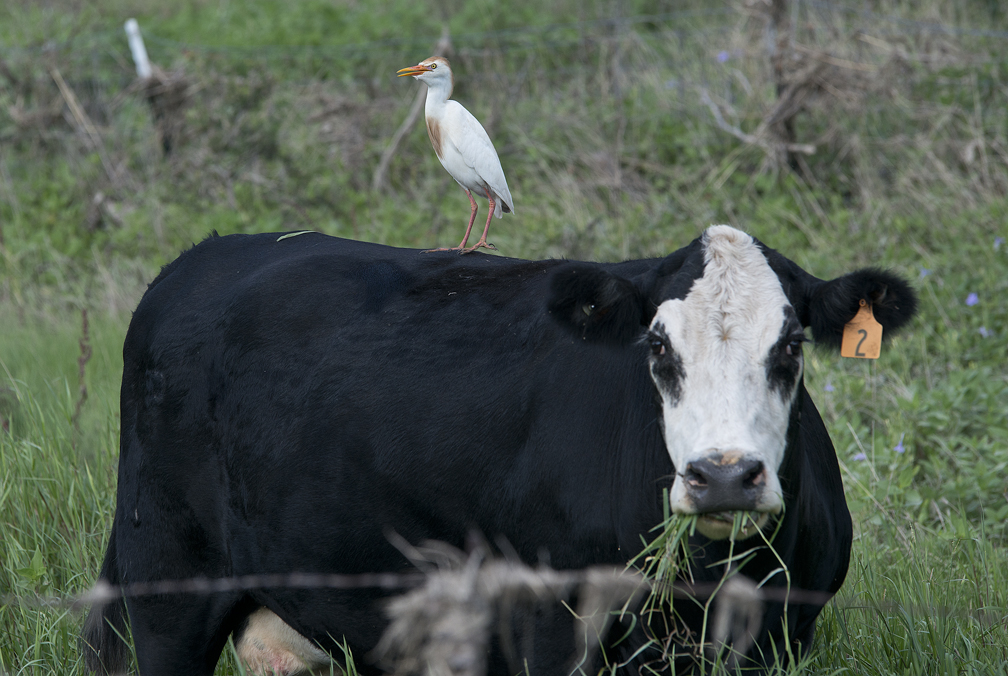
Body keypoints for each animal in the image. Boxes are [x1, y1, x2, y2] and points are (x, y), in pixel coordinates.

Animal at [82, 225, 916, 675]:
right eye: (656, 345)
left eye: (791, 343)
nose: (724, 475)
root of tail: (206, 257)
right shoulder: (552, 625)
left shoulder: (786, 634)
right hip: (167, 583)